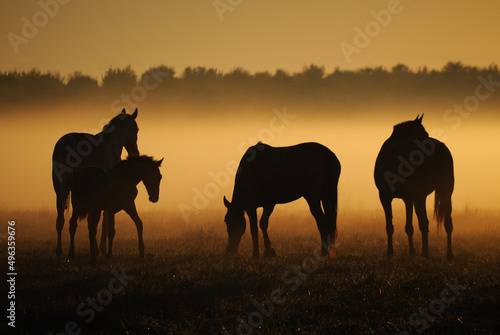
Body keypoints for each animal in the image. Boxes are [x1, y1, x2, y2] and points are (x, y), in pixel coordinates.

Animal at [52, 107, 140, 258]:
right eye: (136, 130)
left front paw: (96, 249)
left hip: (60, 191)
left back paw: (59, 251)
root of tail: (65, 143)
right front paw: (102, 249)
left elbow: (91, 222)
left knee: (60, 221)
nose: (136, 152)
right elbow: (102, 221)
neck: (111, 145)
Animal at [376, 115, 454, 262]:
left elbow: (390, 226)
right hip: (446, 191)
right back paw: (449, 255)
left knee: (424, 223)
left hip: (420, 196)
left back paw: (426, 253)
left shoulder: (385, 196)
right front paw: (411, 252)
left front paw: (390, 253)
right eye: (424, 133)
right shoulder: (408, 199)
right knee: (448, 223)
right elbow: (409, 227)